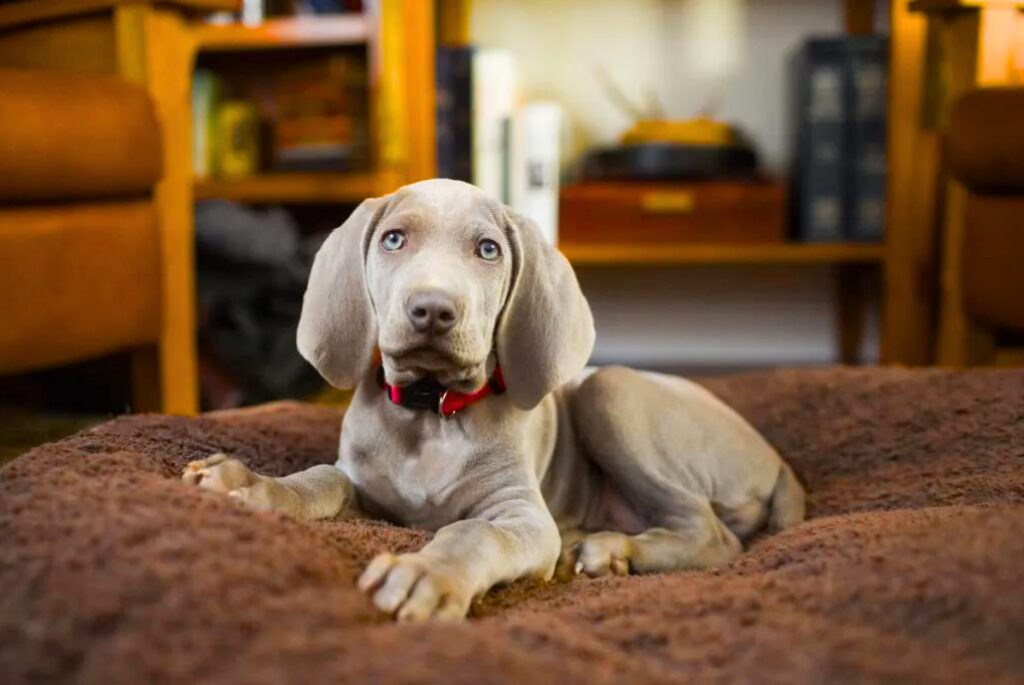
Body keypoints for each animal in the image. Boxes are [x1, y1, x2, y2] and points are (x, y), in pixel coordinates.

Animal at [184, 176, 806, 618]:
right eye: (393, 239)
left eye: (488, 250)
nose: (432, 309)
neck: (431, 412)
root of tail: (776, 460)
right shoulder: (370, 490)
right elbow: (322, 479)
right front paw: (250, 485)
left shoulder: (523, 516)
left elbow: (472, 532)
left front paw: (427, 576)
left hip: (610, 390)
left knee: (713, 534)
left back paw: (609, 550)